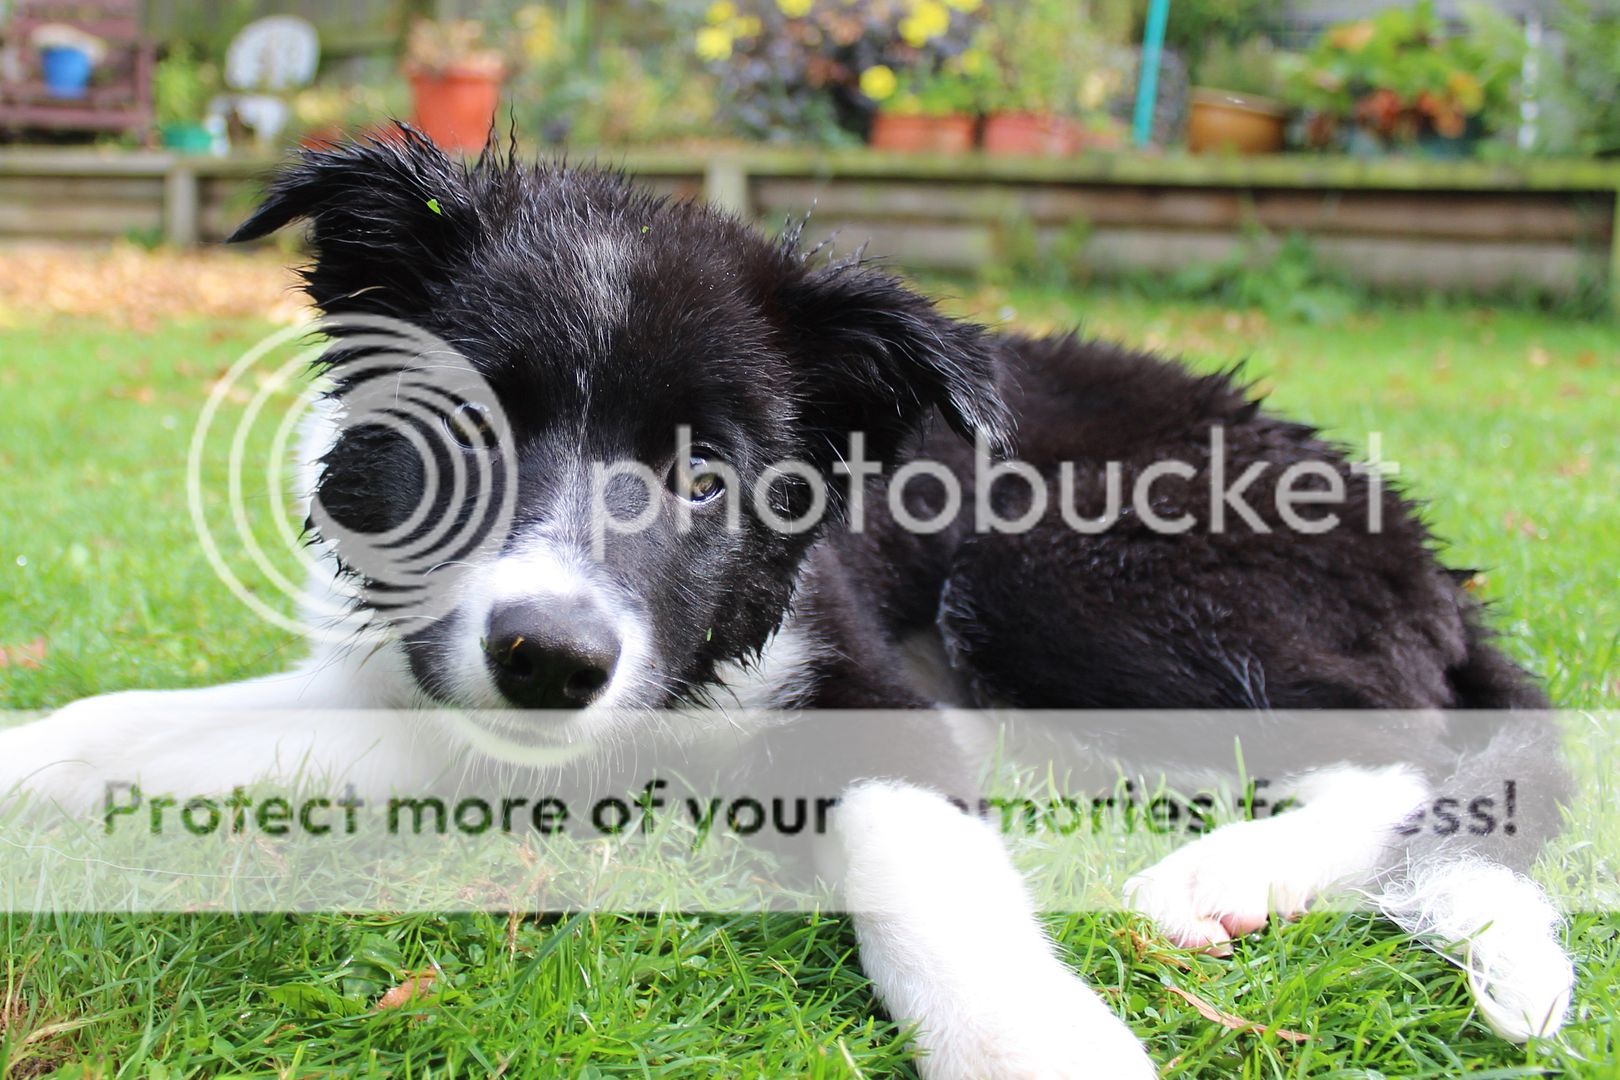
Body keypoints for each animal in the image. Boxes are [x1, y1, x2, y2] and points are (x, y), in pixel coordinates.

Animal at [0, 130, 1576, 1077]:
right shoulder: (420, 690)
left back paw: (1225, 875)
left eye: (708, 472)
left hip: (1073, 574)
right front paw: (28, 759)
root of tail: (1416, 549)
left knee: (1395, 747)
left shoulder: (862, 681)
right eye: (466, 431)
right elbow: (123, 726)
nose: (550, 659)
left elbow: (915, 862)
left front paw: (1037, 1044)